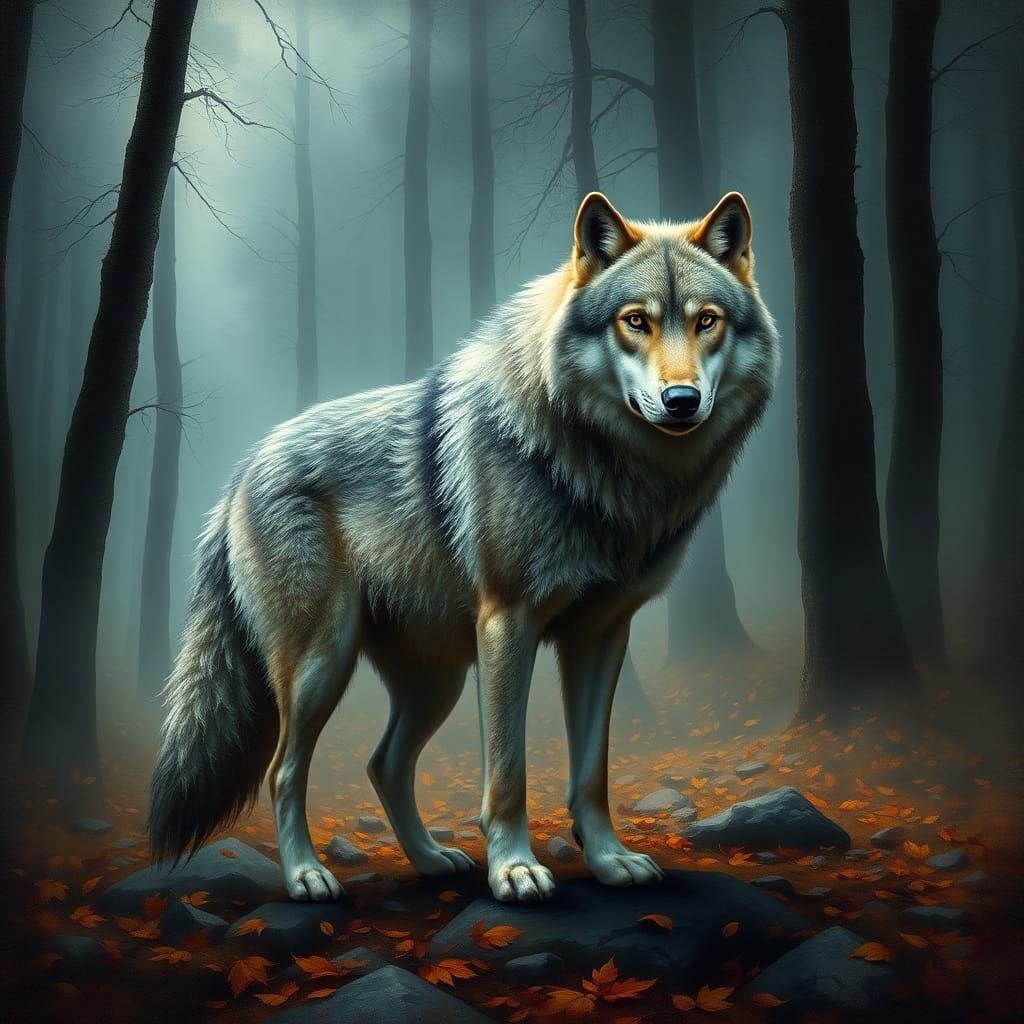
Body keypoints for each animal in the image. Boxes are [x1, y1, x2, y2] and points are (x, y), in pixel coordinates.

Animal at [149, 191, 780, 904]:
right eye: (635, 322)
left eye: (707, 321)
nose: (681, 400)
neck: (603, 470)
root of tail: (242, 470)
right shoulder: (507, 623)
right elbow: (507, 771)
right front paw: (514, 870)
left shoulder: (601, 635)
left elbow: (591, 771)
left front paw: (609, 860)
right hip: (323, 665)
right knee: (284, 770)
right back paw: (307, 876)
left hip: (436, 680)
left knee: (384, 764)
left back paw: (429, 859)